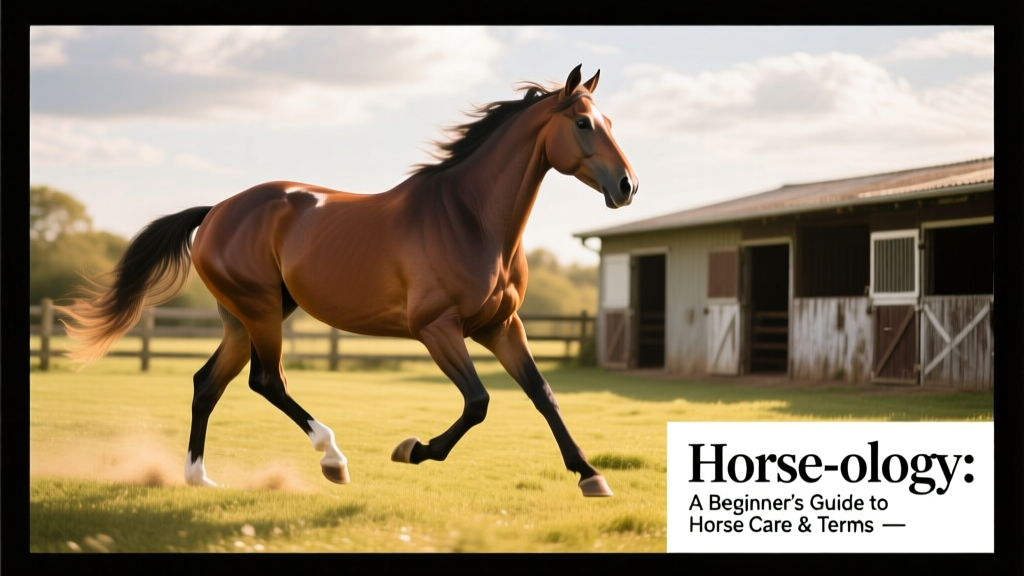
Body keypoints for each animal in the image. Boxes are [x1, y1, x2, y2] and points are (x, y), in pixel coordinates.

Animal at [58, 65, 638, 497]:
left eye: (610, 119)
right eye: (583, 123)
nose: (628, 186)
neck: (469, 220)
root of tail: (217, 210)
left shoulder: (502, 326)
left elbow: (543, 394)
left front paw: (591, 476)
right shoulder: (437, 328)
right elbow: (478, 402)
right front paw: (412, 449)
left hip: (245, 318)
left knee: (207, 383)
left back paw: (199, 478)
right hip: (261, 312)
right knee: (266, 381)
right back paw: (333, 459)